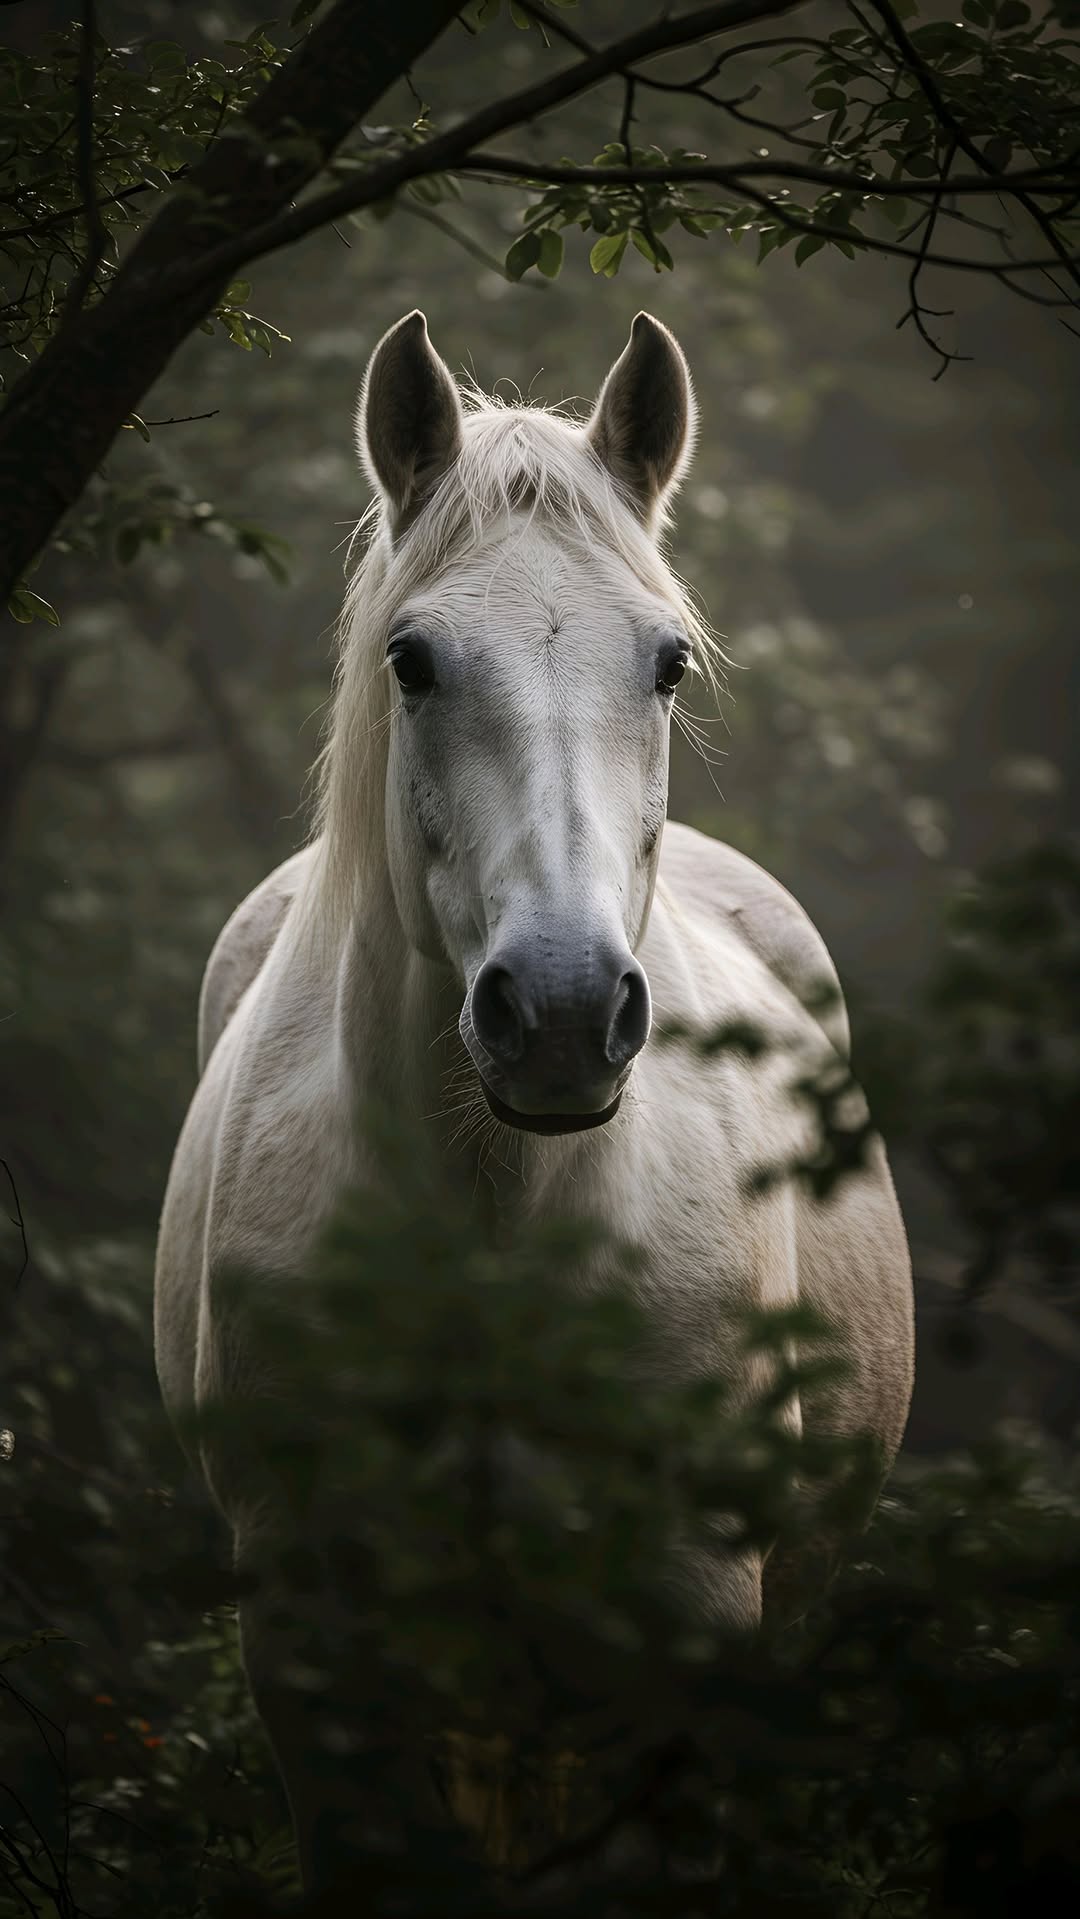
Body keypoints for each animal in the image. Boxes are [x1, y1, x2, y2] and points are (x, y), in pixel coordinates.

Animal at [154, 310, 914, 1890]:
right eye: (413, 658)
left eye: (669, 662)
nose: (561, 1013)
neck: (496, 1239)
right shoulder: (315, 1664)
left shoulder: (683, 1645)